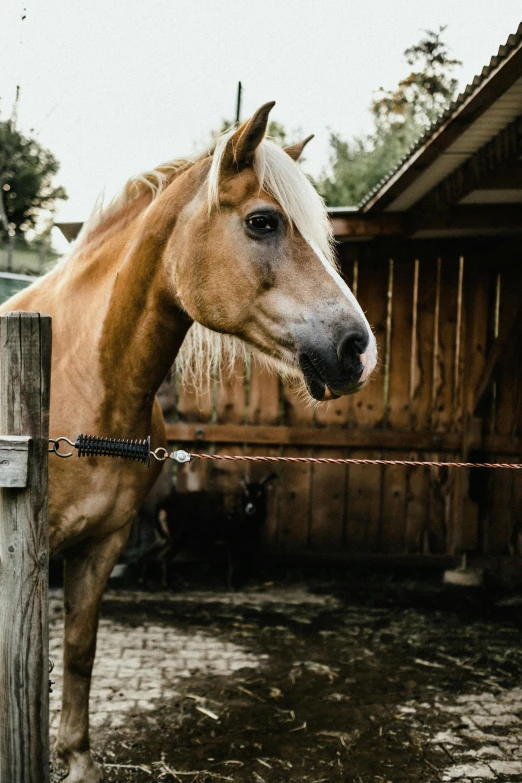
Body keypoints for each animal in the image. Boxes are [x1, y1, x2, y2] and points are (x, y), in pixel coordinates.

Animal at [0, 104, 374, 783]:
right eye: (262, 221)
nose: (359, 350)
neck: (76, 380)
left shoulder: (100, 546)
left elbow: (79, 652)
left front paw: (77, 759)